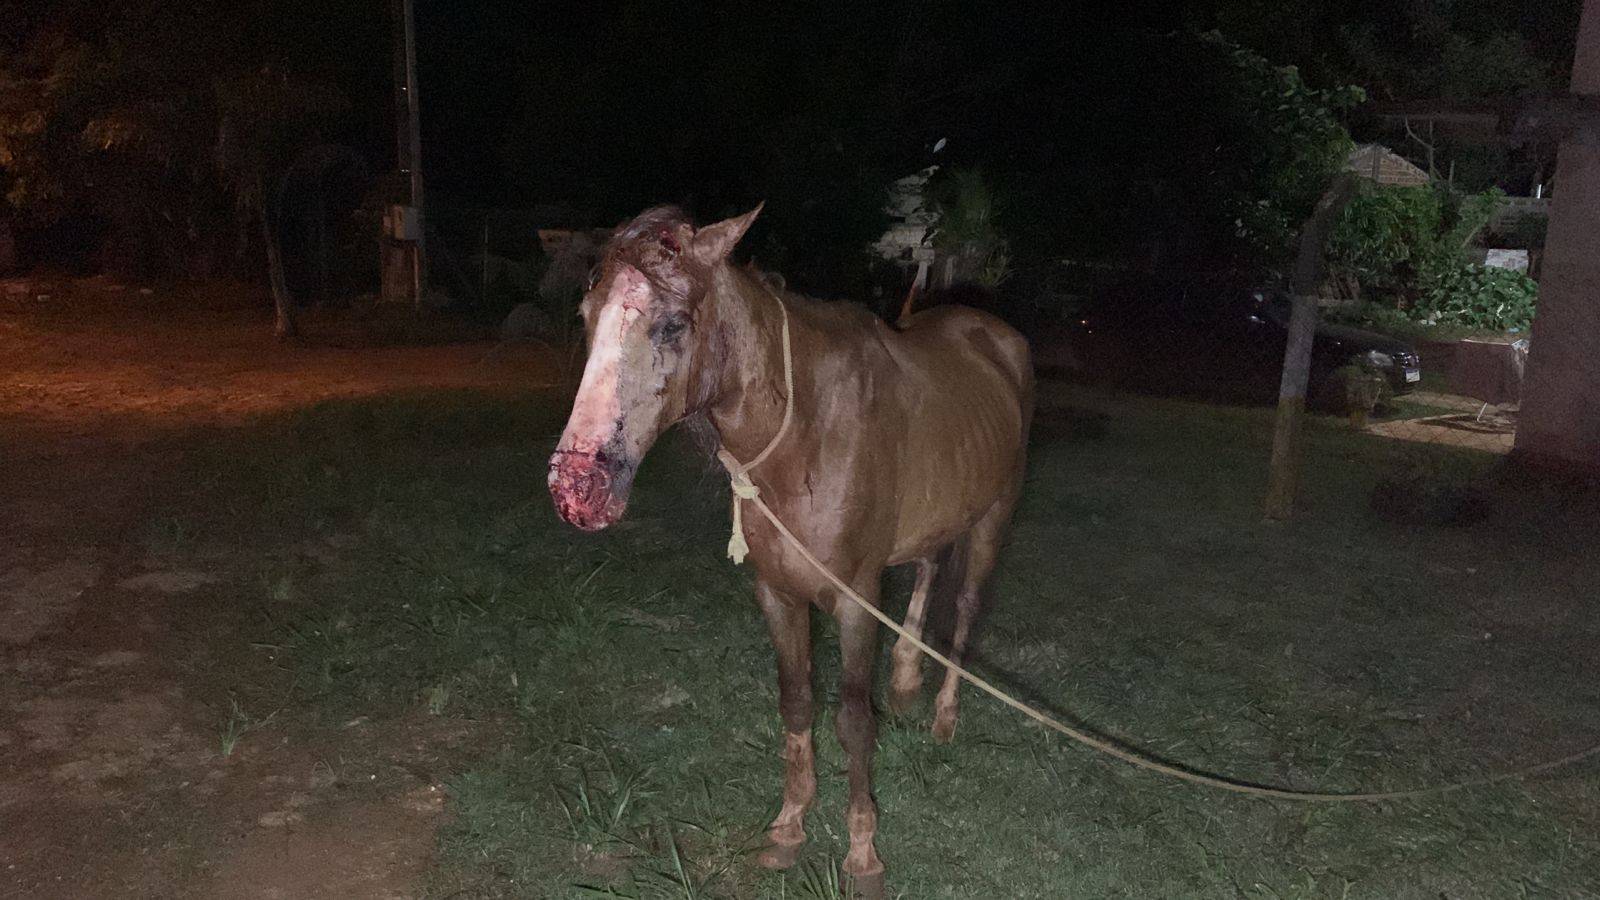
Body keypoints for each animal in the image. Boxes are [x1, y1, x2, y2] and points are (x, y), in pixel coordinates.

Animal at [544, 203, 1030, 883]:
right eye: (586, 316)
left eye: (672, 323)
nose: (576, 488)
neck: (805, 432)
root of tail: (994, 333)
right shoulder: (776, 593)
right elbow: (797, 704)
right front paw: (790, 824)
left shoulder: (857, 602)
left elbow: (853, 720)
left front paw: (862, 851)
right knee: (931, 565)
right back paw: (907, 678)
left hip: (993, 518)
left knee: (963, 611)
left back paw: (944, 715)